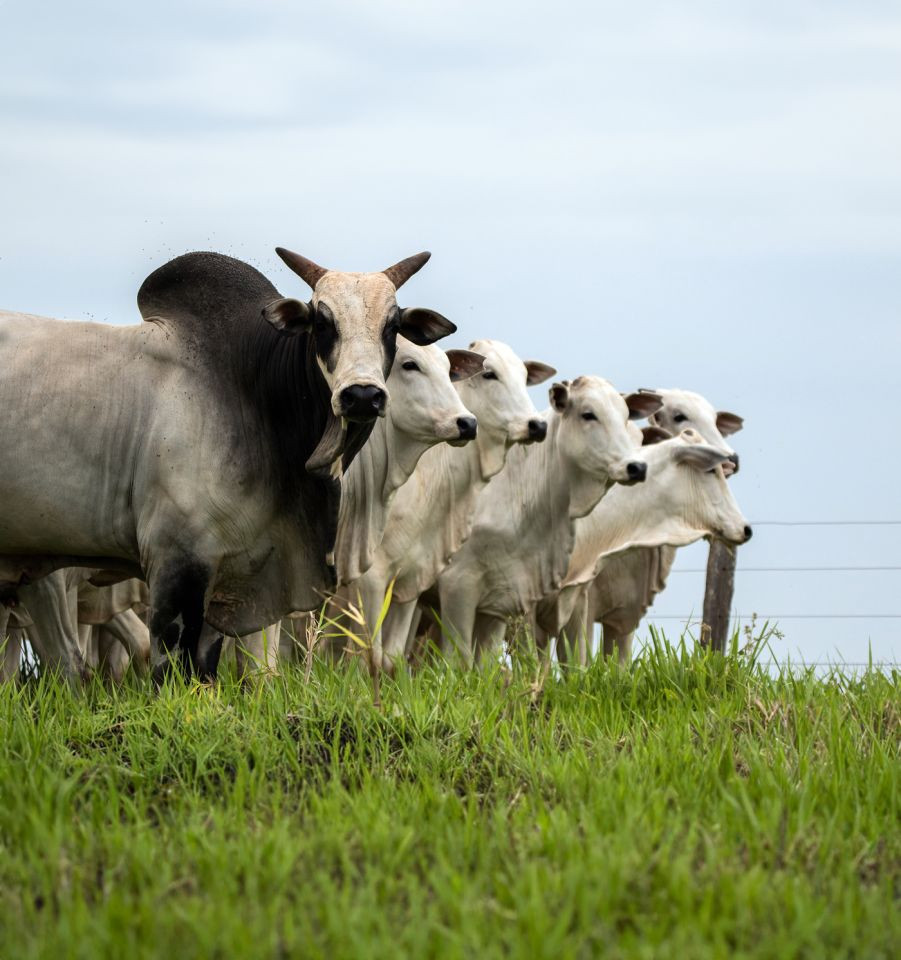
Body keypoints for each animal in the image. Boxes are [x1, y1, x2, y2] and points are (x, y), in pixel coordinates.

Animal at [344, 342, 556, 672]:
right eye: (489, 374)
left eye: (524, 377)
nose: (537, 425)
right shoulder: (372, 576)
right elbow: (368, 652)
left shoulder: (413, 576)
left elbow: (393, 656)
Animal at [432, 376, 656, 668]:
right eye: (588, 414)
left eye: (626, 416)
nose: (637, 467)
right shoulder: (460, 587)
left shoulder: (551, 597)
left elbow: (573, 661)